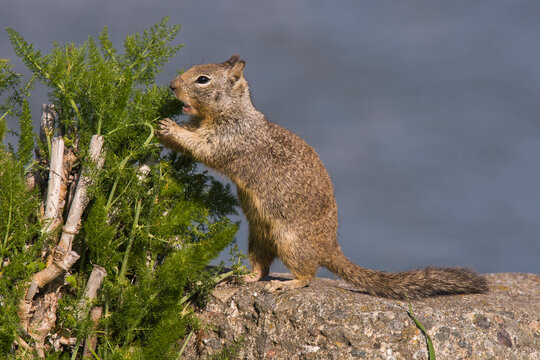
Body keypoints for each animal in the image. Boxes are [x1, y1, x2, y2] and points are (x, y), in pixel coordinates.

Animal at [156, 54, 490, 300]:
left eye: (202, 79)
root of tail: (329, 246)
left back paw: (286, 283)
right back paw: (245, 277)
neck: (233, 113)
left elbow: (205, 148)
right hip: (258, 237)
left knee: (307, 274)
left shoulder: (230, 140)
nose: (171, 85)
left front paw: (168, 127)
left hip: (291, 241)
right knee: (261, 266)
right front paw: (163, 127)